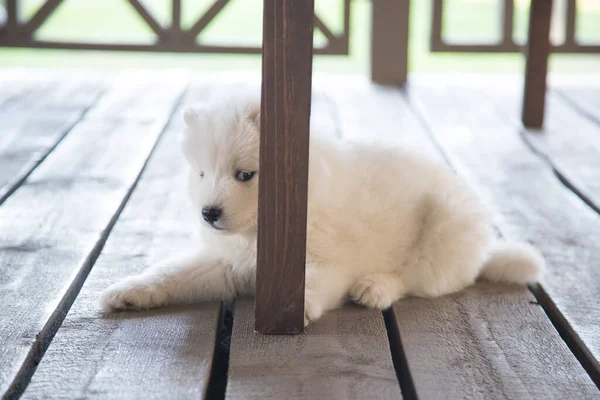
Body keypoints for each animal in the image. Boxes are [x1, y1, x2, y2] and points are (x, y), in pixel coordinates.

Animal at [102, 89, 544, 324]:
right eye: (201, 174)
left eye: (244, 175)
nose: (208, 214)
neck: (256, 235)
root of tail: (484, 251)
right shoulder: (224, 262)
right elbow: (173, 272)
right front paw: (129, 291)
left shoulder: (325, 262)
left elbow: (313, 283)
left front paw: (292, 312)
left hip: (444, 229)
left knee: (415, 280)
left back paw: (374, 288)